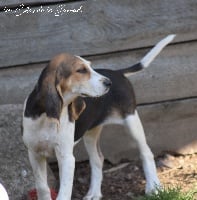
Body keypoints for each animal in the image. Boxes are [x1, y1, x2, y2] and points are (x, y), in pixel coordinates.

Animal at [22, 54, 111, 199]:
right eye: (81, 70)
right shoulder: (34, 153)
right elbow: (42, 186)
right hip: (90, 135)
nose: (109, 82)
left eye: (90, 66)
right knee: (97, 159)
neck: (45, 118)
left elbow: (64, 192)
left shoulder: (66, 158)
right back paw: (94, 193)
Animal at [73, 33, 175, 199]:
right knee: (97, 160)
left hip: (131, 121)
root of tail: (118, 73)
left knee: (146, 153)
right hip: (90, 131)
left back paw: (153, 188)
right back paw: (94, 193)